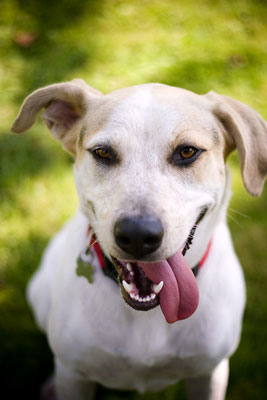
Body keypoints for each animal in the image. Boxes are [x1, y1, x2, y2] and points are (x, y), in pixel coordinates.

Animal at [11, 79, 267, 398]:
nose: (137, 235)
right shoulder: (74, 374)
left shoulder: (210, 373)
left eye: (187, 152)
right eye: (103, 153)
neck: (150, 312)